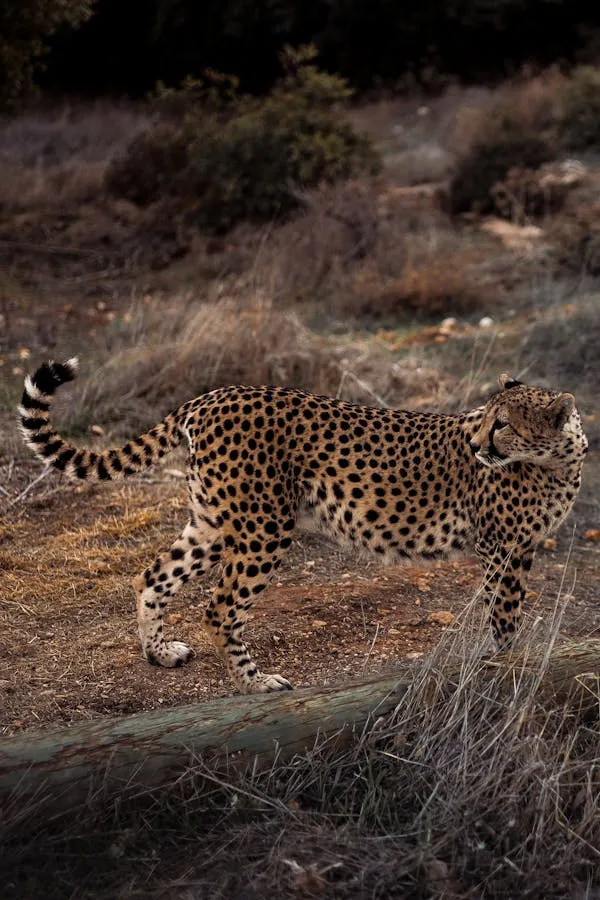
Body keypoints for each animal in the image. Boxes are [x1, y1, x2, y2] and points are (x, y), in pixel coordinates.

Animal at [19, 358, 588, 694]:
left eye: (503, 423)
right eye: (488, 418)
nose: (475, 444)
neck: (561, 459)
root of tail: (211, 395)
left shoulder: (521, 546)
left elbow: (508, 608)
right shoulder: (500, 545)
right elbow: (503, 611)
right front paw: (504, 662)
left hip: (214, 522)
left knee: (153, 575)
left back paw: (159, 653)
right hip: (263, 527)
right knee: (220, 607)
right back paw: (256, 684)